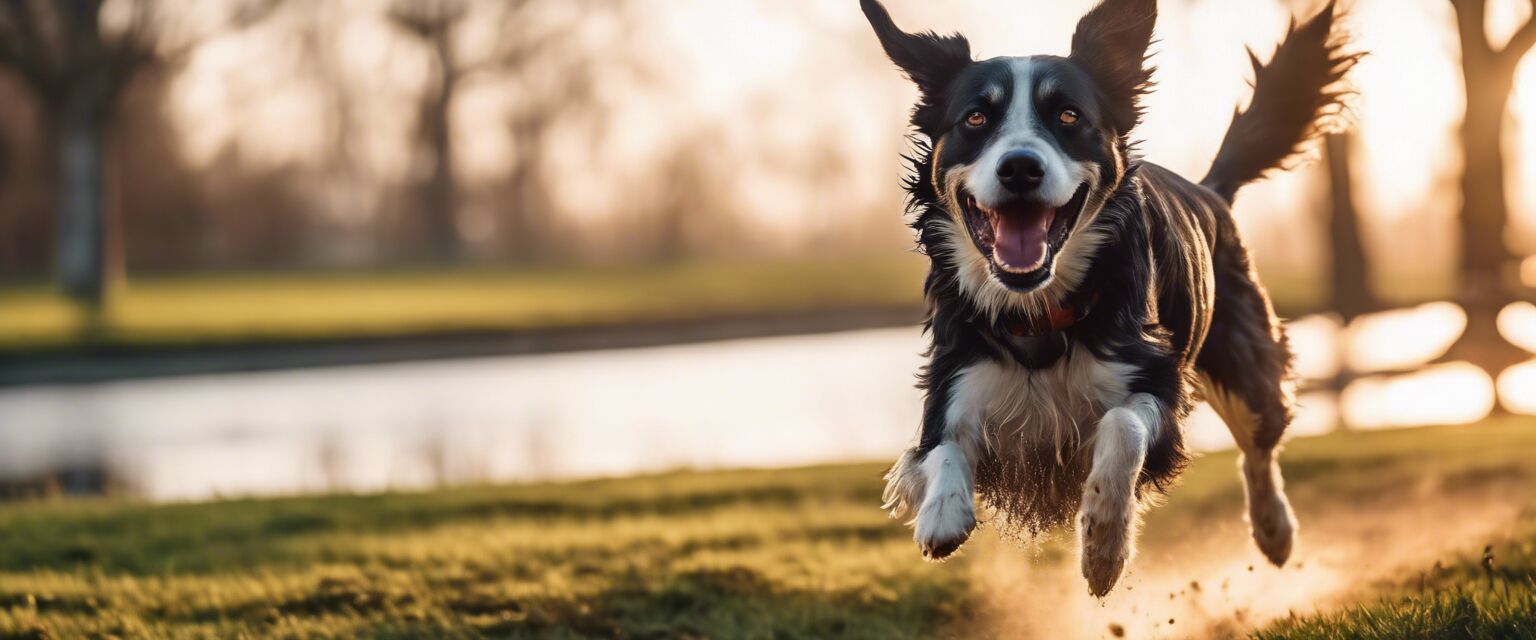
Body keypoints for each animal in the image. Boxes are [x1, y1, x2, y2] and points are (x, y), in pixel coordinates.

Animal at [866, 0, 1357, 592]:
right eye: (976, 119)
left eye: (1068, 116)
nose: (1020, 167)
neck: (1039, 313)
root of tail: (1210, 190)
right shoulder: (954, 376)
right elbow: (939, 448)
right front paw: (942, 512)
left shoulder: (1157, 377)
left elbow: (1121, 426)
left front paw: (1103, 543)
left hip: (1246, 361)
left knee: (1259, 447)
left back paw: (1274, 529)